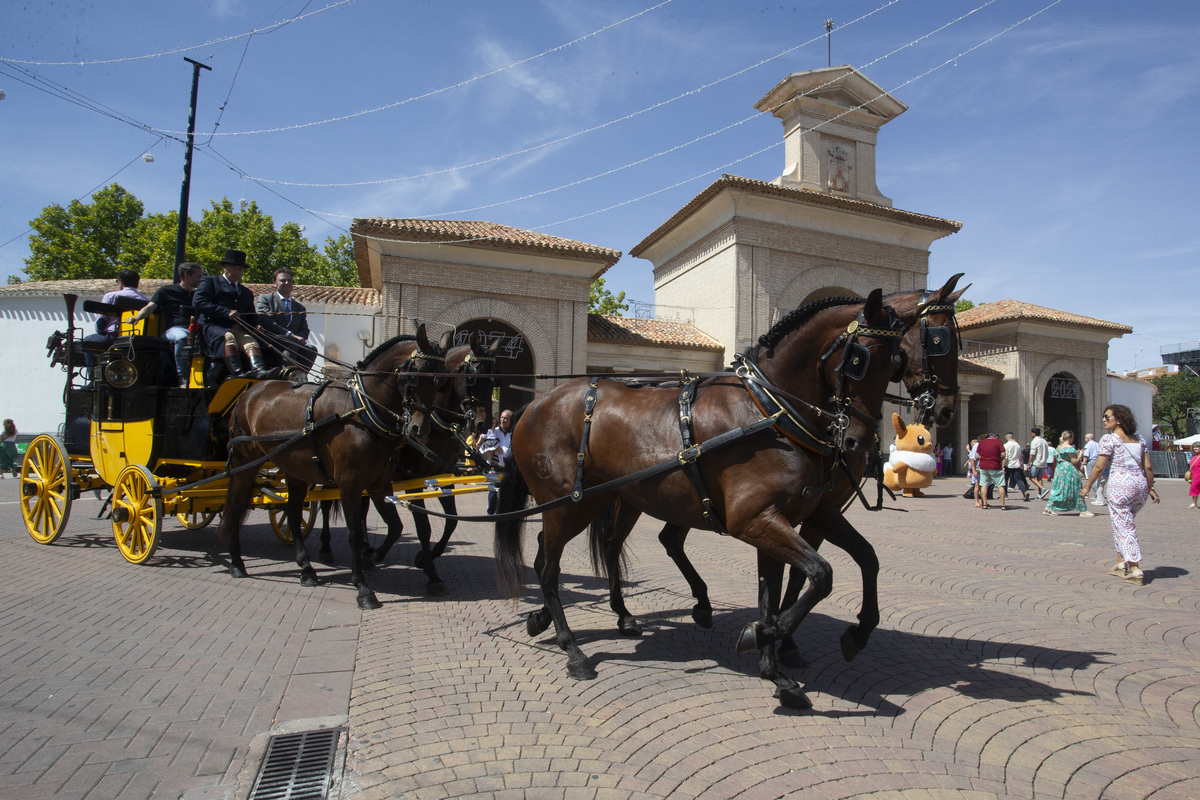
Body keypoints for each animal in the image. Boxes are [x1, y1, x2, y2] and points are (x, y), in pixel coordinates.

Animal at [216, 323, 453, 606]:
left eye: (441, 381)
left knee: (293, 515)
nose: (419, 429)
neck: (363, 410)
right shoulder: (350, 482)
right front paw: (363, 587)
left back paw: (307, 569)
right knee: (235, 507)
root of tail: (249, 392)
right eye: (414, 375)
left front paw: (376, 557)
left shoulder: (379, 483)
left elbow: (397, 527)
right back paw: (237, 562)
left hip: (296, 471)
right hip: (244, 464)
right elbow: (355, 533)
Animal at [492, 287, 902, 705]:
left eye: (895, 364)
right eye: (860, 359)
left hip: (598, 501)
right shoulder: (754, 520)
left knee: (564, 549)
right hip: (569, 503)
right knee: (549, 566)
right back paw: (571, 647)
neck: (768, 411)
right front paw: (761, 636)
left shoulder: (787, 516)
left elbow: (794, 586)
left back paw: (561, 618)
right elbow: (820, 576)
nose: (859, 442)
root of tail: (536, 403)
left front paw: (779, 668)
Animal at [592, 275, 974, 695]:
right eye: (938, 339)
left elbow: (857, 560)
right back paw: (626, 613)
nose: (945, 409)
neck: (774, 408)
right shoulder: (773, 515)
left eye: (894, 360)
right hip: (630, 498)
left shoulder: (811, 508)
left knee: (660, 540)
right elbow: (808, 574)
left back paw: (695, 606)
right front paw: (775, 637)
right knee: (614, 544)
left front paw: (802, 638)